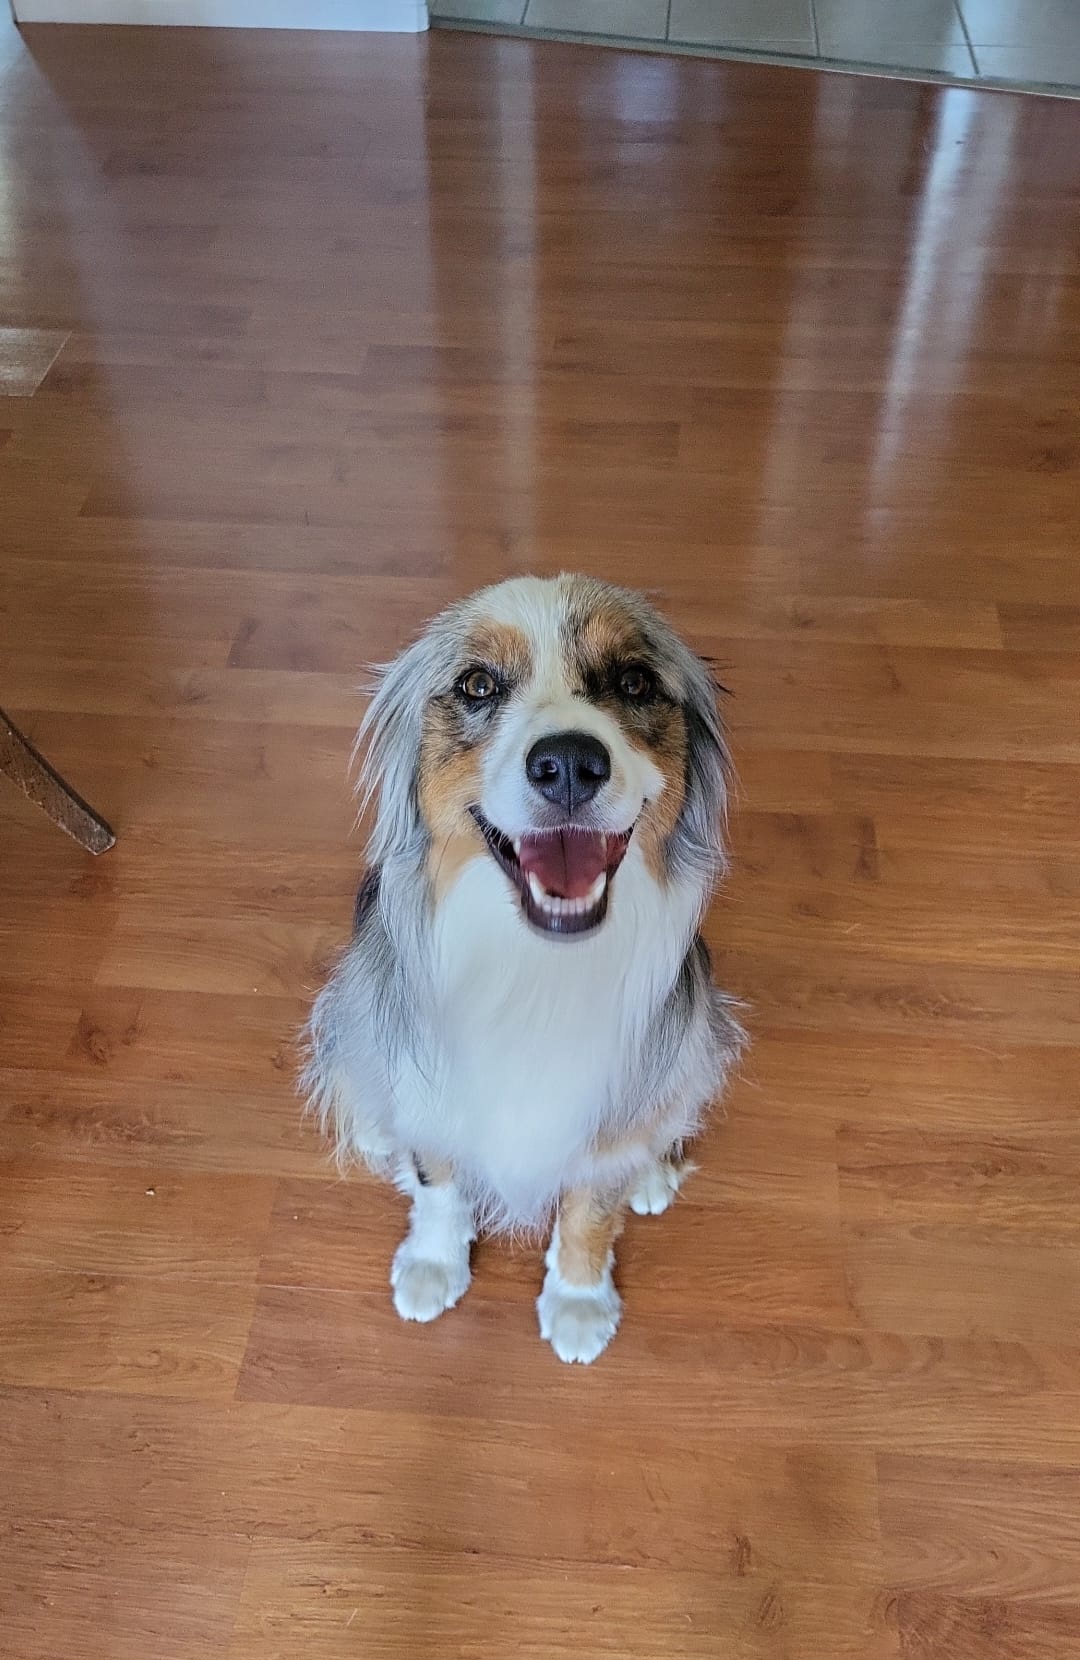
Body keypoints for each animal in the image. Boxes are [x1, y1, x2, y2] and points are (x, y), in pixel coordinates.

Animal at [302, 574, 743, 1363]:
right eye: (477, 684)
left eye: (634, 681)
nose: (568, 763)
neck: (538, 970)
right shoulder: (432, 1082)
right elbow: (438, 1177)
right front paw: (433, 1263)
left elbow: (590, 1209)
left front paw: (578, 1301)